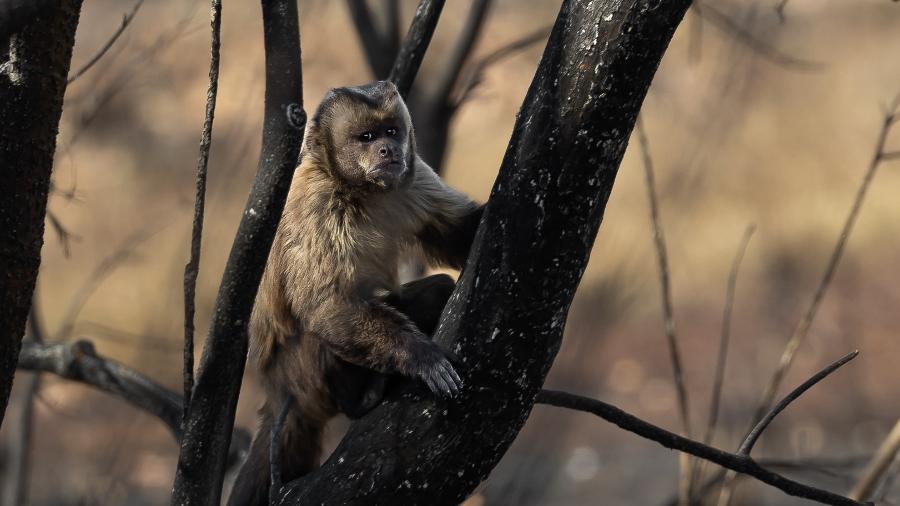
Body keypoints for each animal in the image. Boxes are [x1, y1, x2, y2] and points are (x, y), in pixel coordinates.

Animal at [230, 81, 486, 504]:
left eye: (391, 132)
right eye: (366, 137)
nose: (387, 150)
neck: (360, 191)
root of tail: (277, 388)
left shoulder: (414, 177)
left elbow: (459, 235)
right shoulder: (317, 207)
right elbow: (325, 306)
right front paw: (420, 357)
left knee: (438, 289)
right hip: (301, 375)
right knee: (317, 329)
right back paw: (358, 399)